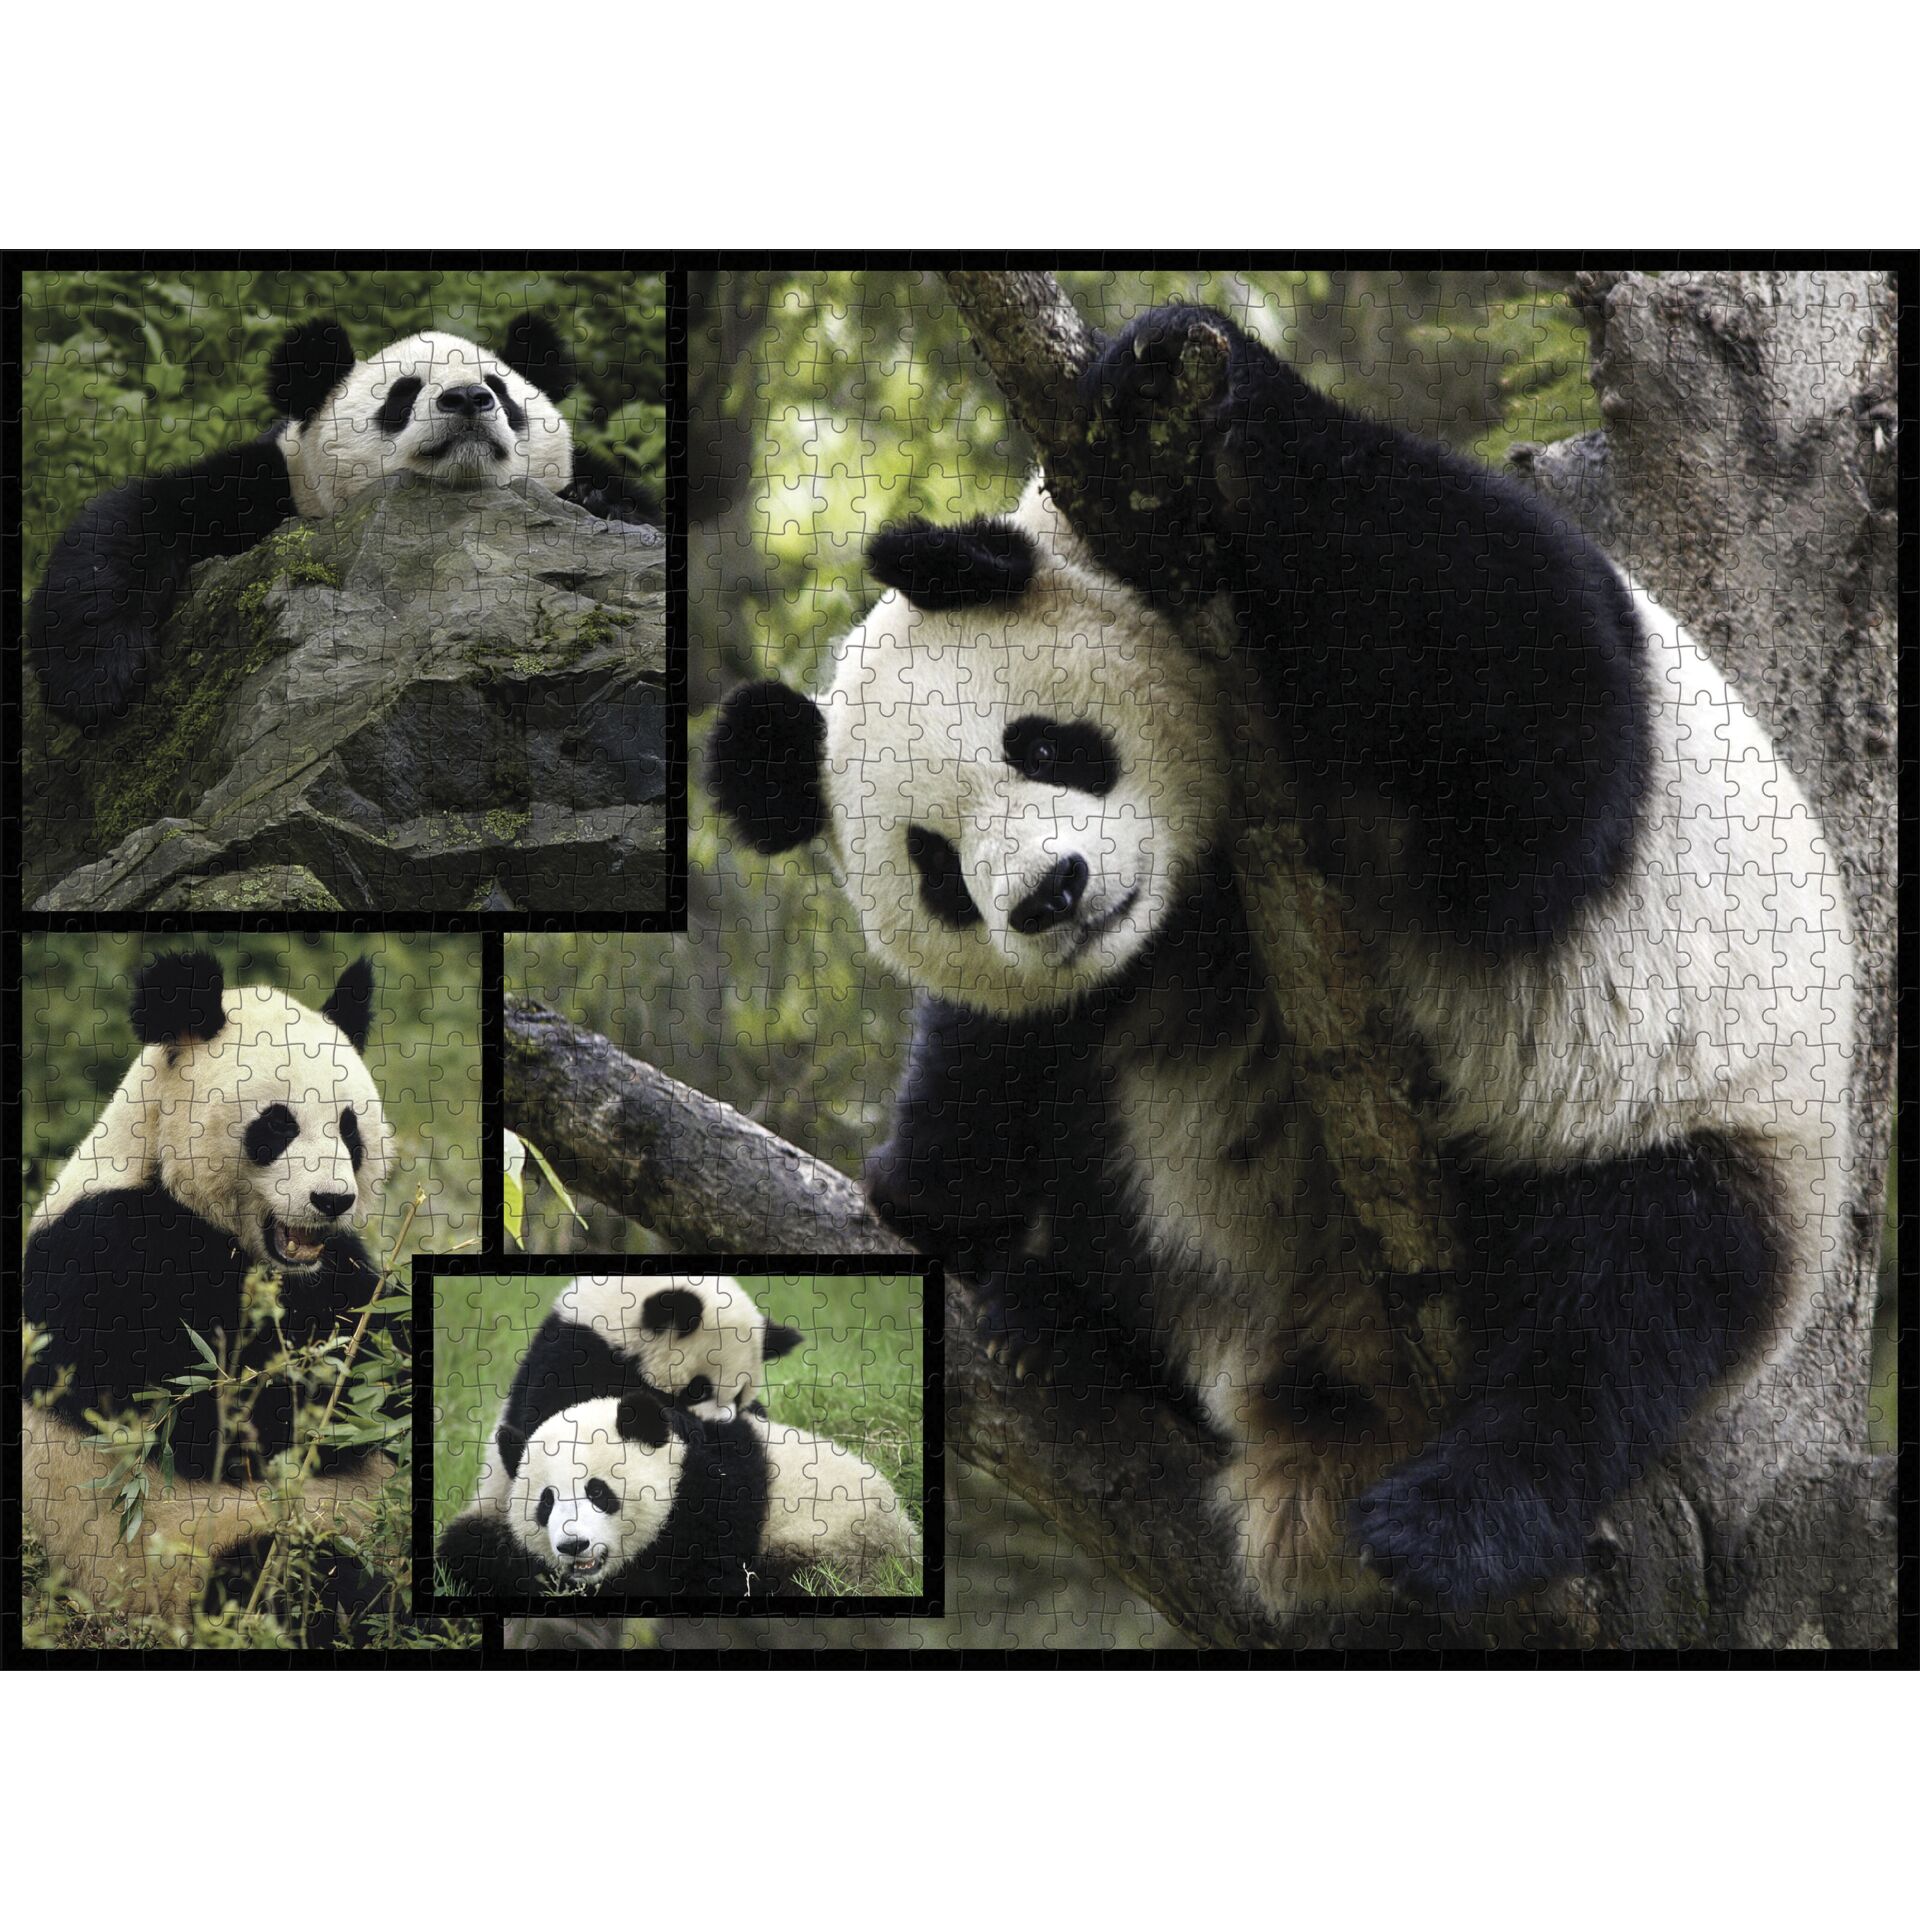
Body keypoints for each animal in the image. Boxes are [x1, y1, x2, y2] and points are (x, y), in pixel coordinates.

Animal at [22, 949, 400, 1643]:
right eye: (276, 1125)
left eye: (349, 1128)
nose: (331, 1200)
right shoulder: (100, 1258)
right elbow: (205, 1419)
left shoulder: (334, 1269)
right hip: (179, 1563)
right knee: (293, 1578)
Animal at [29, 313, 658, 729]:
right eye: (402, 394)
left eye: (500, 390)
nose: (467, 399)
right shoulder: (273, 485)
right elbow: (132, 520)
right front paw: (97, 680)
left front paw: (601, 502)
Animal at [706, 302, 1857, 1622]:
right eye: (936, 868)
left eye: (1045, 745)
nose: (1052, 897)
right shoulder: (1125, 954)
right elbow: (1002, 1049)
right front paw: (925, 1196)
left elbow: (1537, 722)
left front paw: (1179, 372)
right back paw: (1070, 1333)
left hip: (1702, 1120)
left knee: (1630, 1304)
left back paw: (1457, 1518)